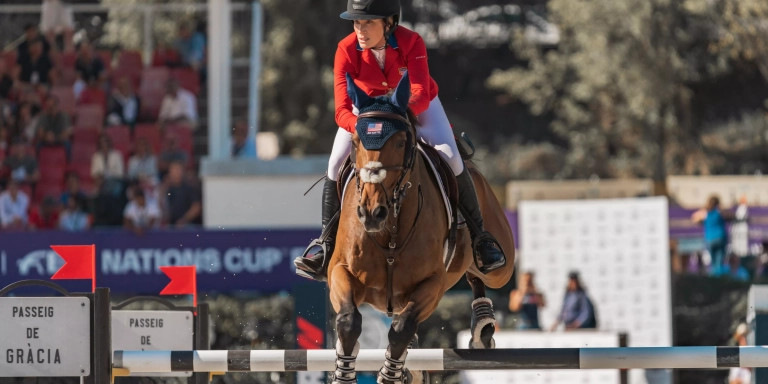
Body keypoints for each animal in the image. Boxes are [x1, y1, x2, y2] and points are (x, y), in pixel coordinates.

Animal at [328, 73, 512, 384]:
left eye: (401, 142)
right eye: (355, 141)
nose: (371, 213)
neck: (390, 227)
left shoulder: (432, 284)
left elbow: (402, 328)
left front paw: (391, 375)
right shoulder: (340, 271)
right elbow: (349, 320)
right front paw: (345, 374)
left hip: (502, 267)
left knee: (480, 272)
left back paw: (483, 324)